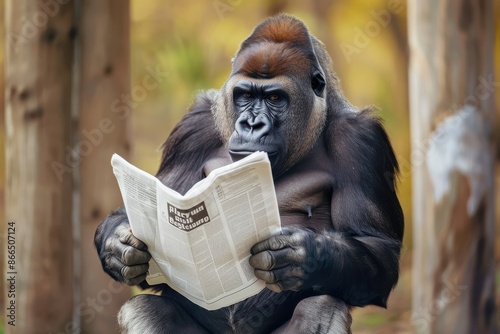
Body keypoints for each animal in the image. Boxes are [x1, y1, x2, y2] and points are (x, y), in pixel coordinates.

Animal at [95, 14, 404, 334]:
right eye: (244, 95)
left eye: (275, 97)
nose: (251, 124)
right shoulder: (193, 128)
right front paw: (119, 247)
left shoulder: (362, 140)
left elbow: (377, 248)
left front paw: (304, 255)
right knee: (144, 308)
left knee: (319, 307)